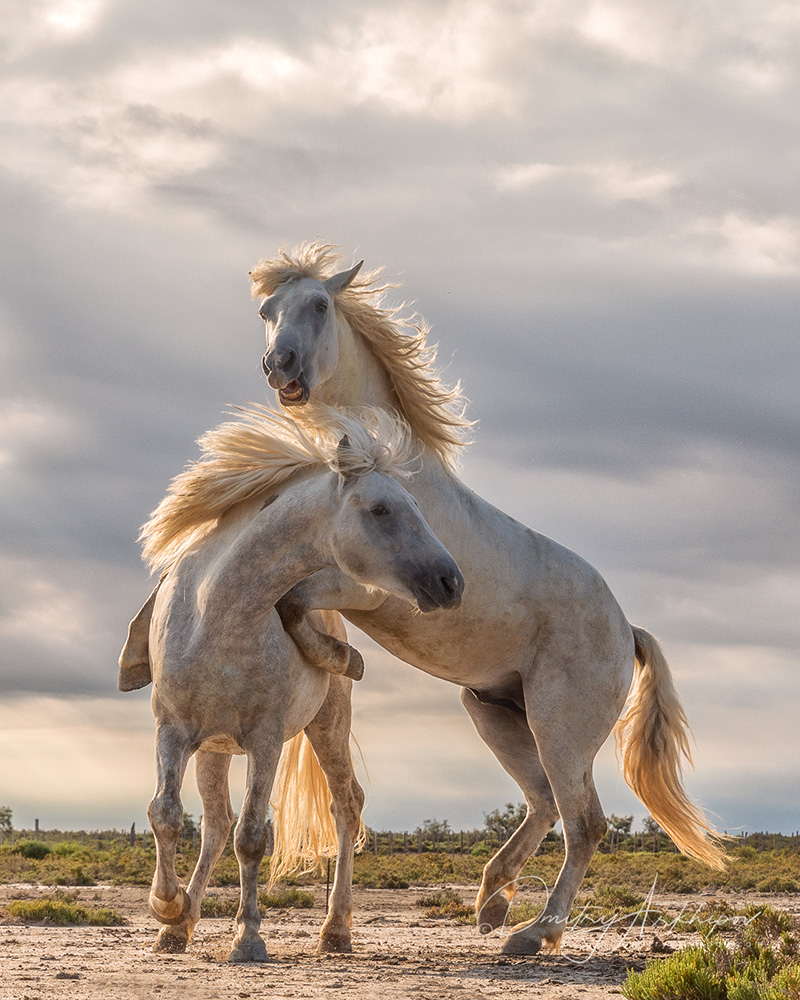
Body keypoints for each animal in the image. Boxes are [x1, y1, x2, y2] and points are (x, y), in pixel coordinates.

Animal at [130, 406, 462, 960]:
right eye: (381, 510)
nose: (451, 581)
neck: (218, 614)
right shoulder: (173, 731)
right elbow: (166, 814)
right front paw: (168, 907)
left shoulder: (265, 739)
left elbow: (251, 836)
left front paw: (247, 937)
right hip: (214, 748)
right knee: (215, 825)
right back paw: (181, 925)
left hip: (327, 725)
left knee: (345, 806)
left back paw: (335, 929)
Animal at [250, 240, 732, 952]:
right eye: (266, 311)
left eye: (318, 304)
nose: (279, 365)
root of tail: (628, 631)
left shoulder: (372, 586)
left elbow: (298, 599)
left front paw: (337, 659)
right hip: (495, 711)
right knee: (543, 804)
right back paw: (492, 899)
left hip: (561, 726)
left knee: (585, 822)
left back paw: (533, 931)